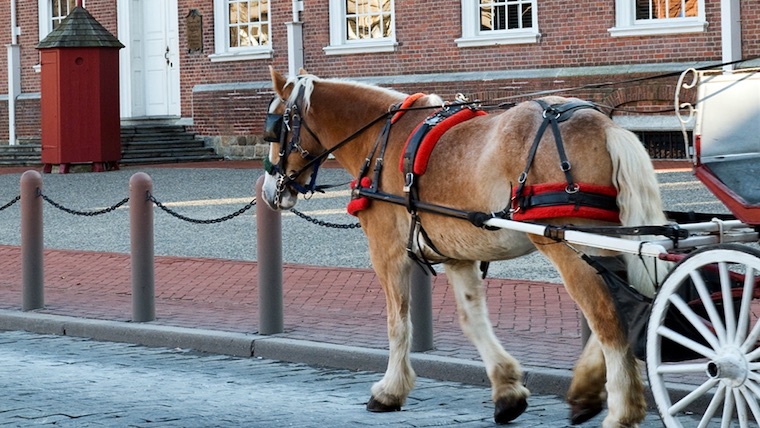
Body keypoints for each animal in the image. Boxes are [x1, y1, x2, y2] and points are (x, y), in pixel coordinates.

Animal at [261, 67, 669, 427]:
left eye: (276, 129)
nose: (269, 191)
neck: (380, 139)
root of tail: (605, 125)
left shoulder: (387, 251)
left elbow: (398, 322)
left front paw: (389, 391)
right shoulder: (457, 256)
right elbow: (472, 320)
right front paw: (507, 391)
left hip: (567, 244)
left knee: (607, 318)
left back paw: (621, 412)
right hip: (603, 243)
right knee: (620, 308)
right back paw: (587, 391)